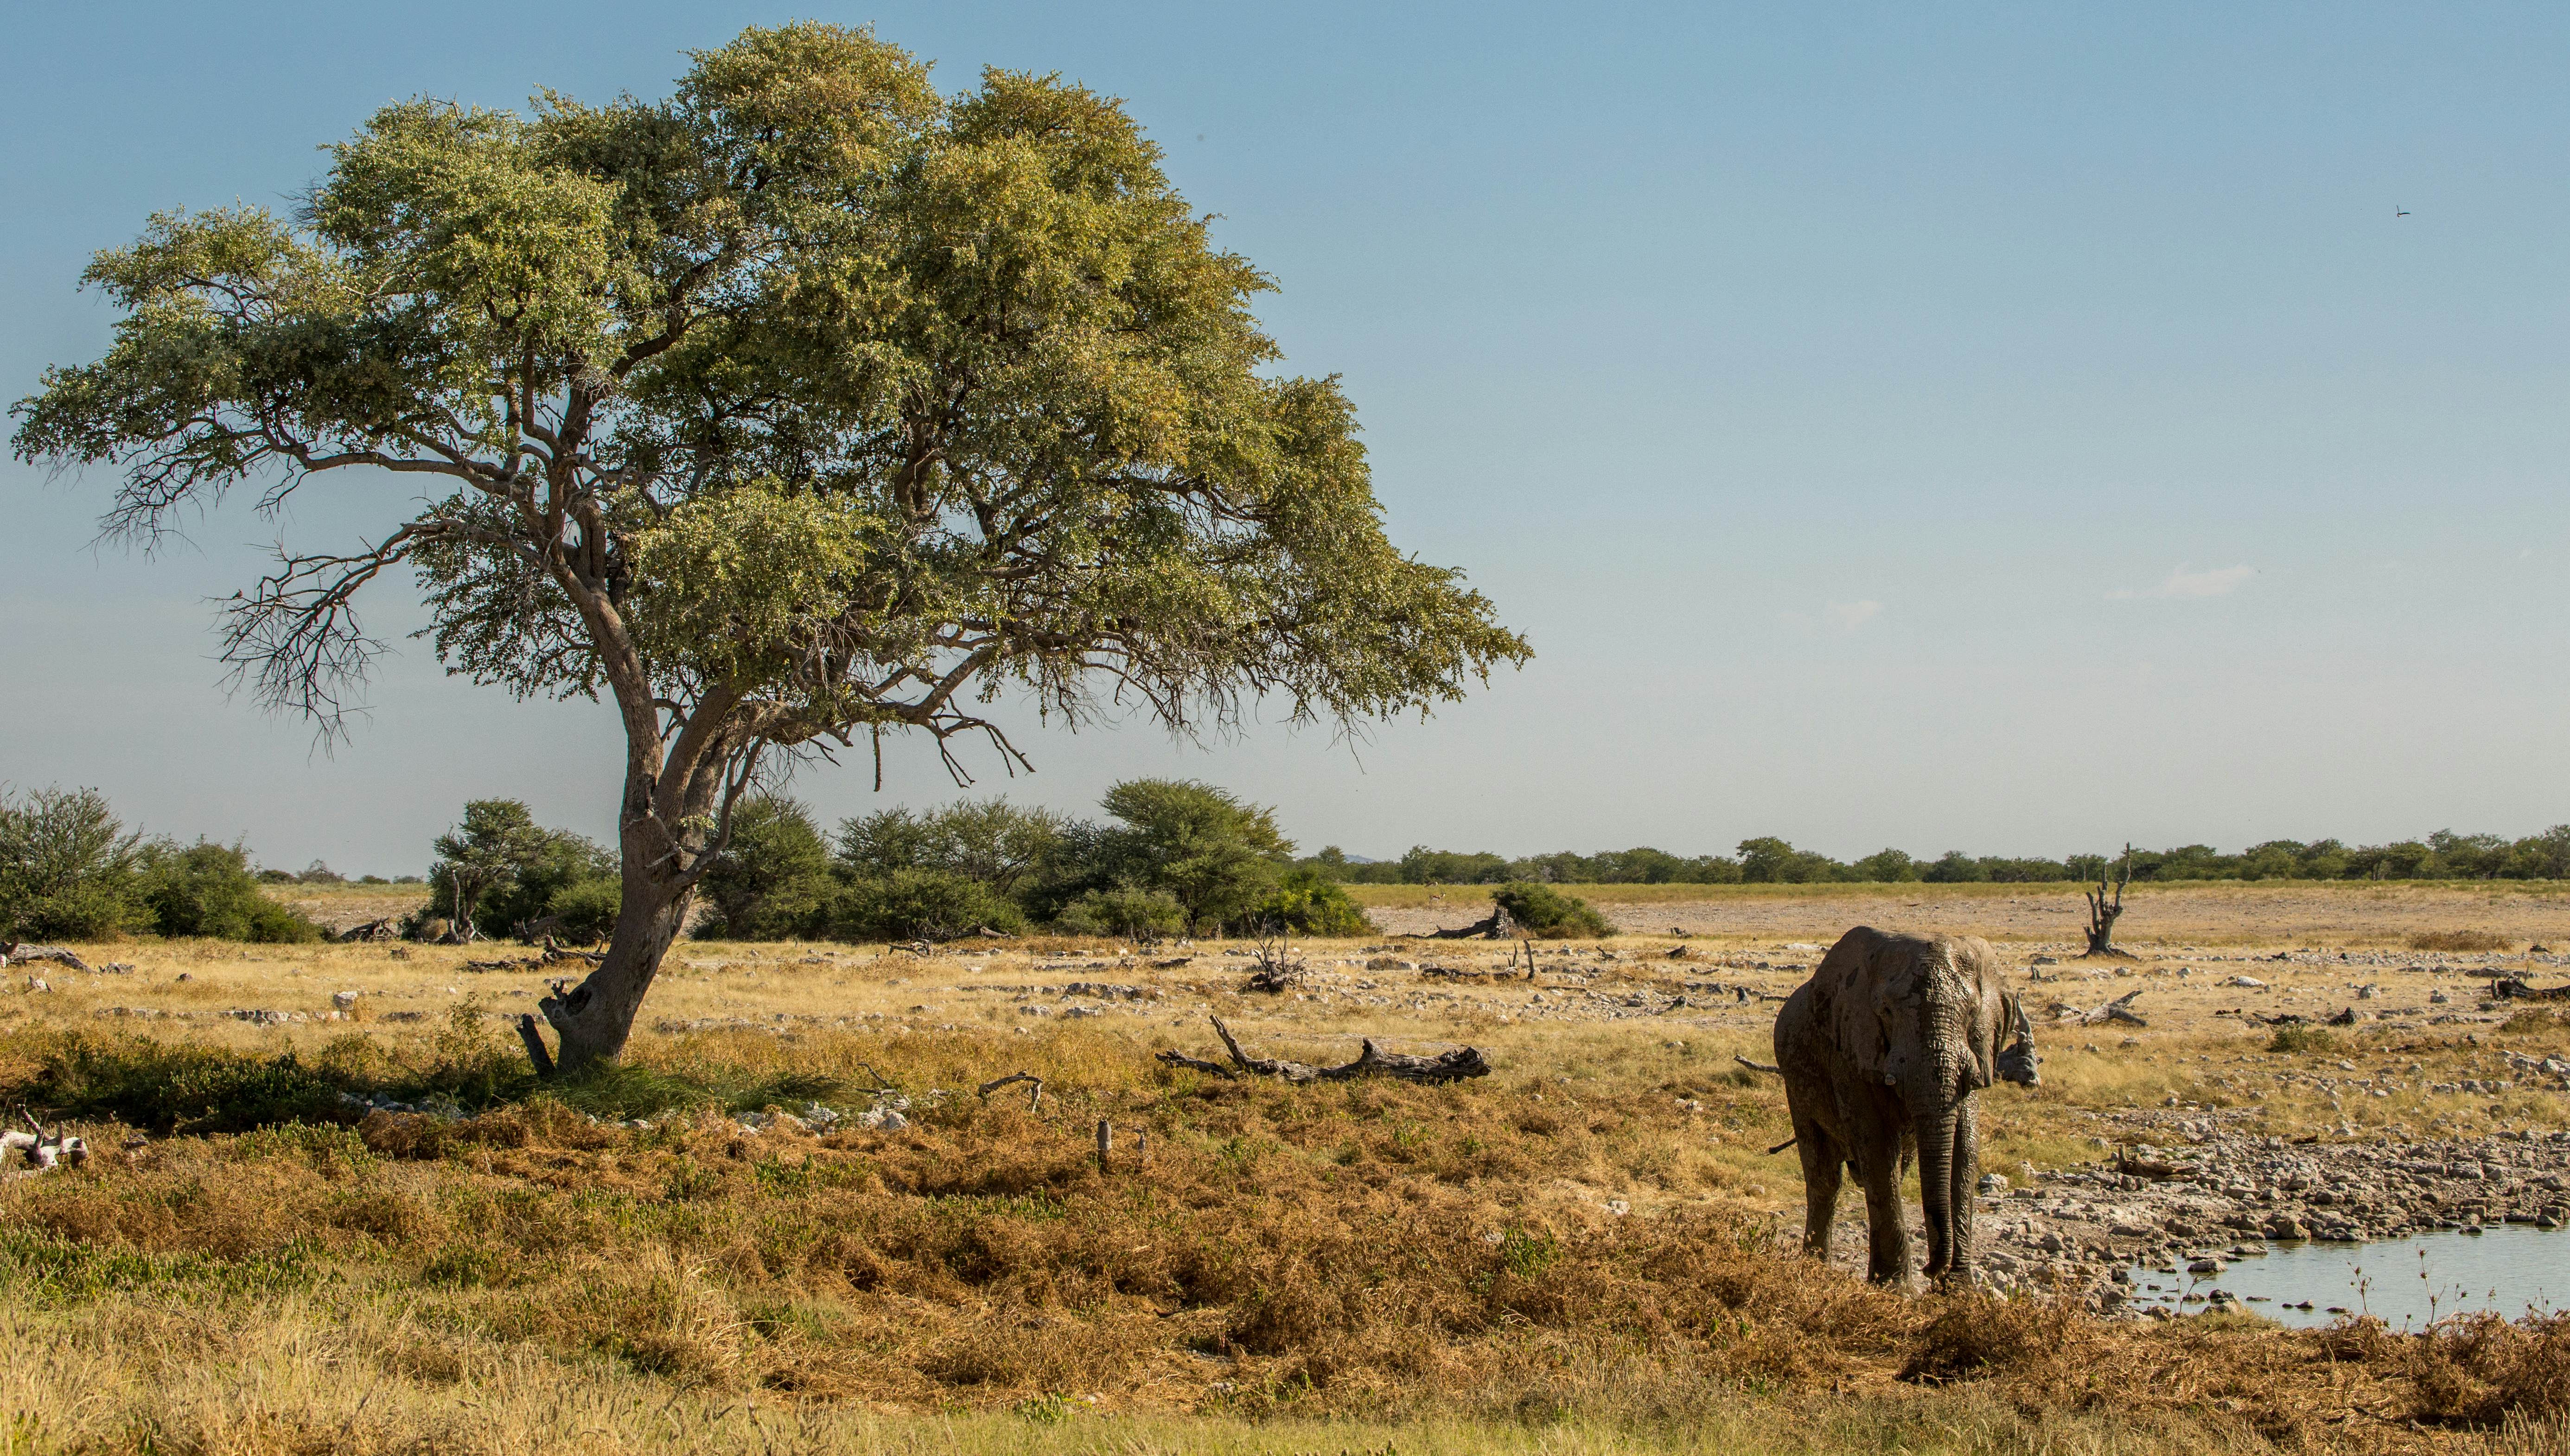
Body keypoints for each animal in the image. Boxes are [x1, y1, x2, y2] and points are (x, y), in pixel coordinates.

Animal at [1778, 924, 2035, 1289]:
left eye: (1972, 1013)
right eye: (1886, 1012)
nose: (1932, 1269)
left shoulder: (1976, 1055)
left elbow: (1965, 1147)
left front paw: (1959, 1290)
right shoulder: (1850, 1050)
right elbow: (1875, 1142)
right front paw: (1897, 1290)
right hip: (1795, 1081)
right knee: (1825, 1178)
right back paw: (1817, 1271)